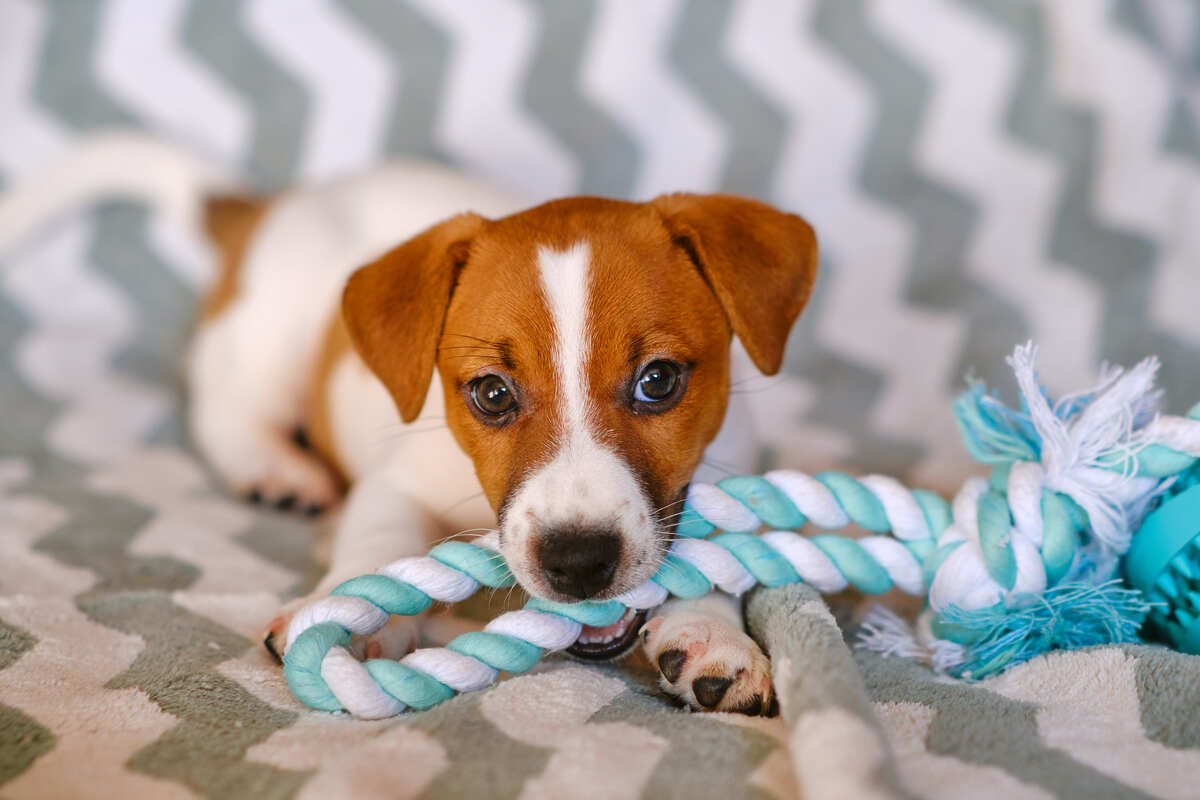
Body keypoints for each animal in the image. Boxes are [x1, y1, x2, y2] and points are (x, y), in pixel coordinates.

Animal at [187, 163, 820, 714]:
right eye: (492, 394)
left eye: (658, 381)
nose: (578, 562)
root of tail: (282, 201)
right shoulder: (401, 482)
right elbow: (378, 538)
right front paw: (349, 607)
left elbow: (718, 559)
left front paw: (711, 632)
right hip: (273, 337)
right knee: (227, 410)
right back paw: (278, 471)